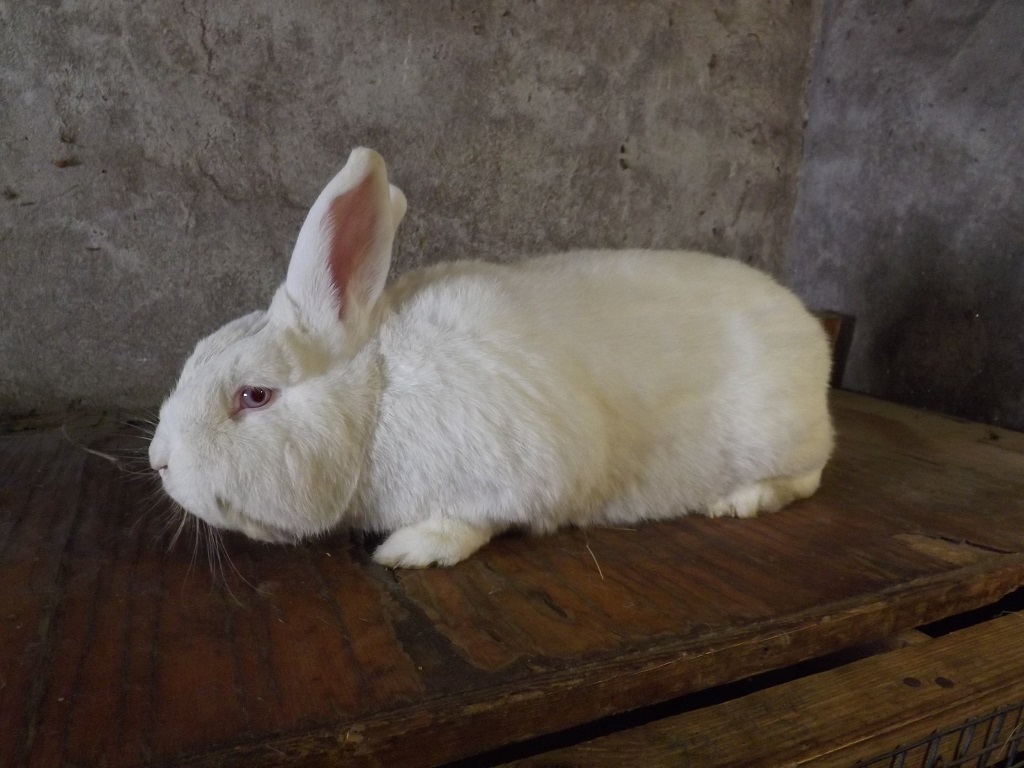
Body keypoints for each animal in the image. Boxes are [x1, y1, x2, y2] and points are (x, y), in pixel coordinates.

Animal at [153, 147, 839, 569]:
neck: (378, 396)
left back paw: (741, 500)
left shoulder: (522, 469)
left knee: (809, 477)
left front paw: (412, 549)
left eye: (254, 396)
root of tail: (810, 334)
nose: (159, 461)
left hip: (777, 434)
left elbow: (473, 521)